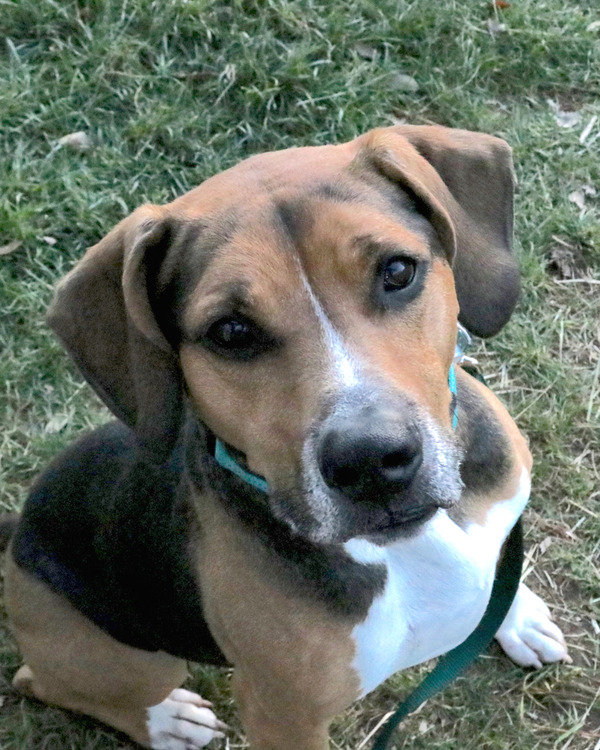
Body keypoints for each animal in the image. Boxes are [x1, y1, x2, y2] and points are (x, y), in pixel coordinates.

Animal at [1, 126, 572, 748]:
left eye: (398, 271)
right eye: (230, 332)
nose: (371, 462)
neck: (410, 545)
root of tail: (16, 534)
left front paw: (519, 614)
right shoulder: (282, 717)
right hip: (127, 656)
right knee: (44, 681)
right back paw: (166, 722)